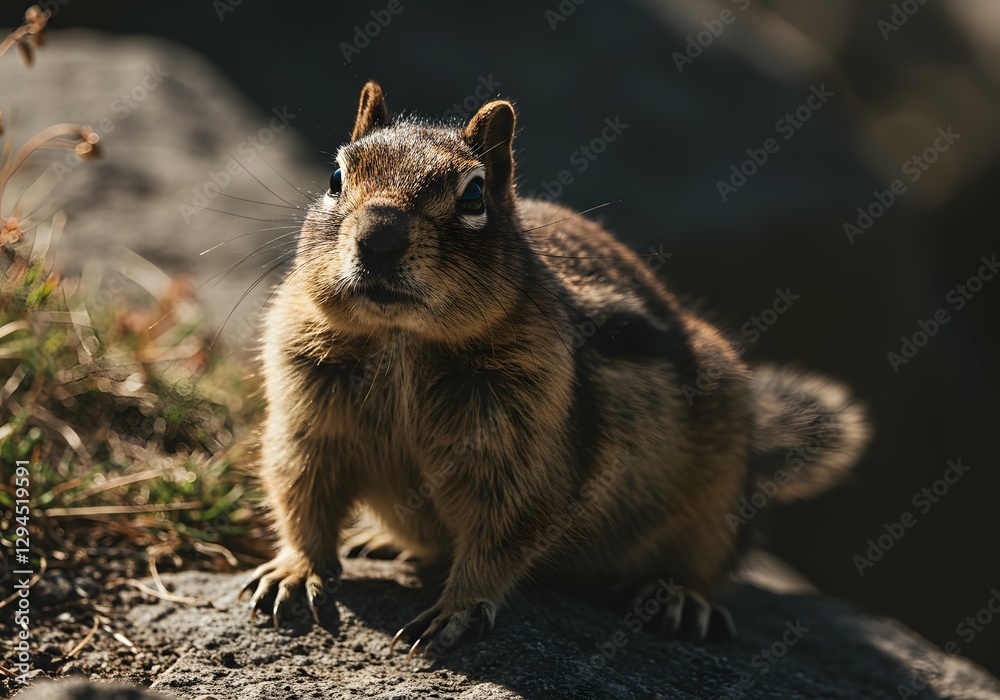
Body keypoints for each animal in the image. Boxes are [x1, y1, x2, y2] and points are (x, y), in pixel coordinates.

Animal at [242, 81, 871, 656]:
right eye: (335, 177)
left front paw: (457, 610)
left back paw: (679, 598)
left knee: (707, 563)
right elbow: (300, 492)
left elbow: (503, 533)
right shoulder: (305, 411)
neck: (402, 340)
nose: (379, 238)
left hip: (716, 504)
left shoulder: (528, 450)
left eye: (474, 195)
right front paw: (294, 571)